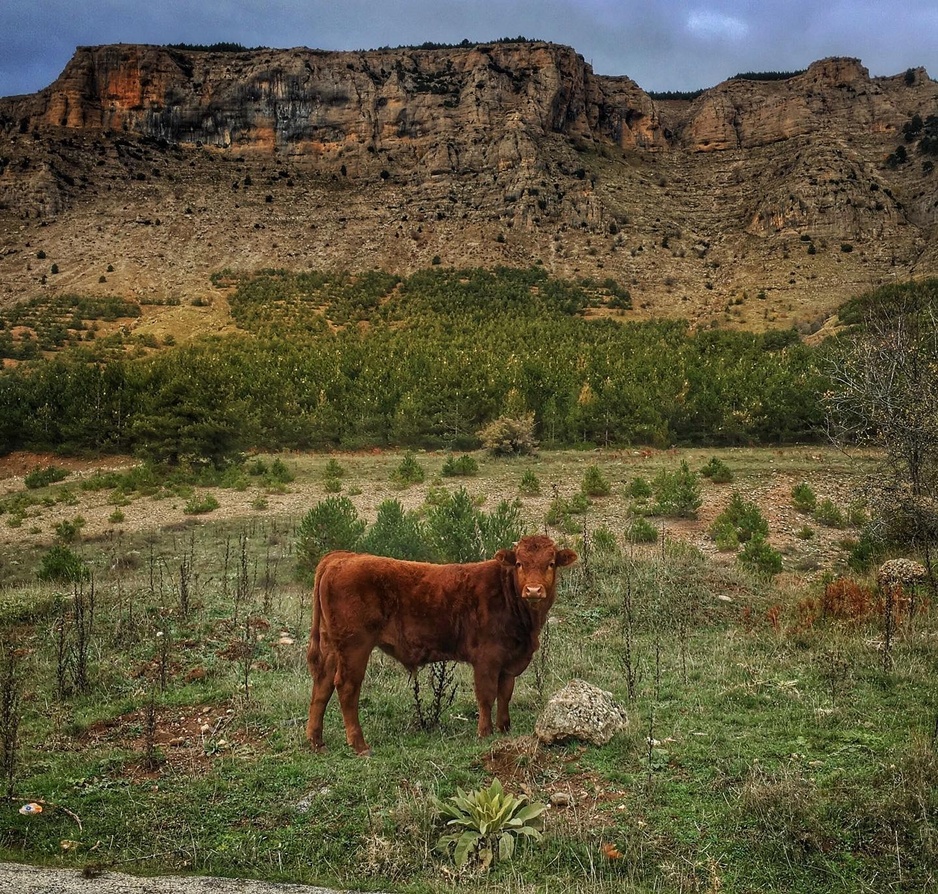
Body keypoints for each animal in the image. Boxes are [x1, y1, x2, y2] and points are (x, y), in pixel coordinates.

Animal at [305, 534, 577, 755]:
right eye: (520, 563)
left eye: (550, 563)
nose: (533, 590)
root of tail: (343, 557)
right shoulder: (487, 658)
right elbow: (486, 695)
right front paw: (484, 733)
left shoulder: (510, 660)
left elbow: (505, 693)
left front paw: (504, 729)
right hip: (355, 646)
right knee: (346, 687)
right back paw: (360, 744)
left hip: (332, 646)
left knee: (322, 685)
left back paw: (317, 742)